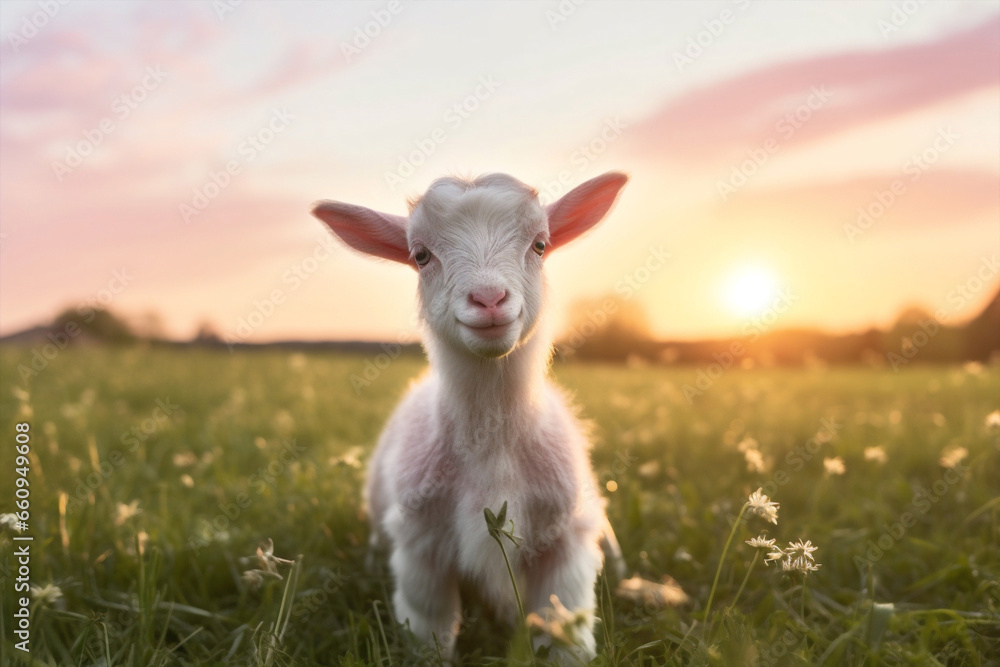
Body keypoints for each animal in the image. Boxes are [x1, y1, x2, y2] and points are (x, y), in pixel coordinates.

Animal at [312, 171, 628, 661]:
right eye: (420, 255)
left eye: (540, 245)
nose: (489, 298)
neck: (491, 446)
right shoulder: (420, 546)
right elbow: (430, 629)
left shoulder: (565, 544)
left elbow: (563, 632)